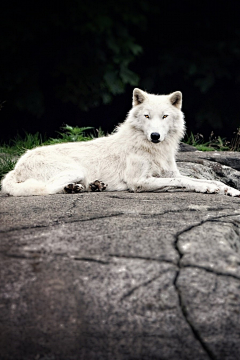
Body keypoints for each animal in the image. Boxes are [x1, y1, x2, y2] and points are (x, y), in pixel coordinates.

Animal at [1, 89, 240, 197]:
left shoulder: (170, 172)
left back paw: (90, 186)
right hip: (75, 169)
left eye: (164, 116)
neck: (153, 150)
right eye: (146, 116)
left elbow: (201, 179)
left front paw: (228, 189)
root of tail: (15, 167)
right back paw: (77, 188)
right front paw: (207, 187)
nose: (155, 135)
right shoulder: (139, 182)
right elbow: (185, 181)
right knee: (46, 189)